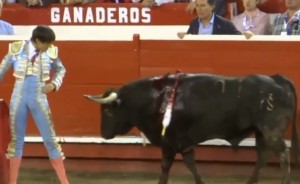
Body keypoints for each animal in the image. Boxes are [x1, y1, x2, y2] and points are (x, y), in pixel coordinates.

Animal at [83, 73, 298, 184]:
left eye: (108, 111)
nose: (103, 134)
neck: (155, 98)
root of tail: (278, 80)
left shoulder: (168, 143)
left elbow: (165, 167)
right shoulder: (184, 143)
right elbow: (191, 164)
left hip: (271, 131)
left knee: (282, 153)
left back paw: (285, 181)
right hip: (261, 132)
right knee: (263, 156)